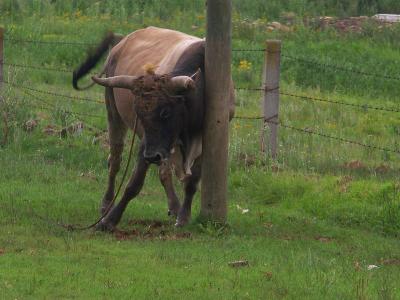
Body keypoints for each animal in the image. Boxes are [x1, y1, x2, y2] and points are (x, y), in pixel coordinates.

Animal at [73, 27, 234, 231]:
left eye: (166, 112)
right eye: (139, 114)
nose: (152, 156)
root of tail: (121, 43)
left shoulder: (205, 140)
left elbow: (191, 183)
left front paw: (183, 216)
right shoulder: (146, 142)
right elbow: (133, 184)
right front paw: (110, 220)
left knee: (163, 172)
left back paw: (174, 206)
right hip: (113, 114)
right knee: (115, 162)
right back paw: (106, 204)